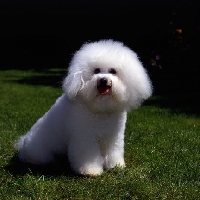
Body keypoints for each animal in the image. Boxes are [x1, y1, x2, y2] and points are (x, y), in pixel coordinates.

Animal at [14, 39, 152, 175]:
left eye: (113, 71)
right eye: (96, 70)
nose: (103, 80)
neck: (101, 111)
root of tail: (23, 144)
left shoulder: (114, 137)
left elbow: (113, 152)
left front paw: (116, 166)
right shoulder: (85, 136)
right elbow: (88, 155)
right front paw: (90, 171)